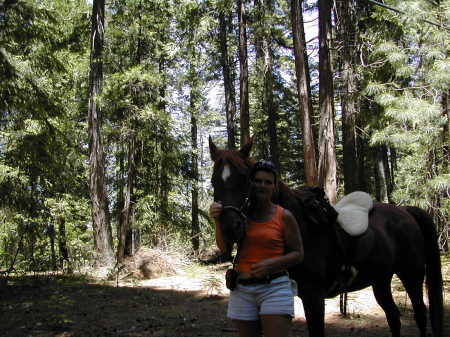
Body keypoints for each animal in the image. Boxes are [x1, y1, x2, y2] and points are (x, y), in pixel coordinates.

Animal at [210, 137, 442, 336]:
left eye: (245, 178)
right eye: (213, 182)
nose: (230, 227)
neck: (300, 223)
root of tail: (406, 211)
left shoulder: (314, 295)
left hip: (411, 275)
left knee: (420, 314)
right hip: (381, 279)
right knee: (393, 316)